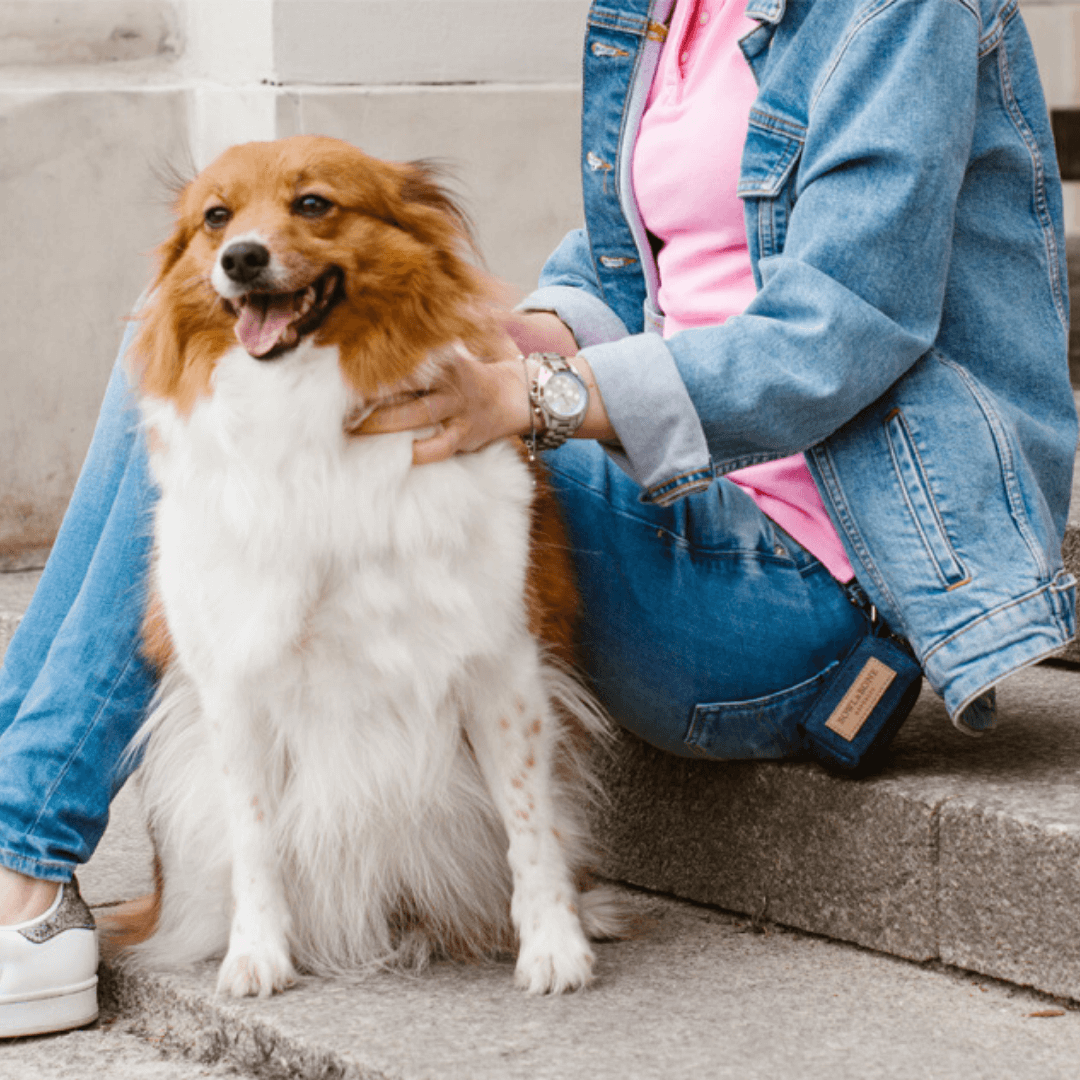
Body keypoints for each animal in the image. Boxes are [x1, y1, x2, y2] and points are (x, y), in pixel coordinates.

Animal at [107, 139, 626, 997]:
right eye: (215, 217)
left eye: (313, 205)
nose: (240, 258)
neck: (302, 410)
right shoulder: (233, 683)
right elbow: (255, 838)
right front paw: (258, 953)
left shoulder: (502, 665)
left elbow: (530, 823)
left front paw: (554, 944)